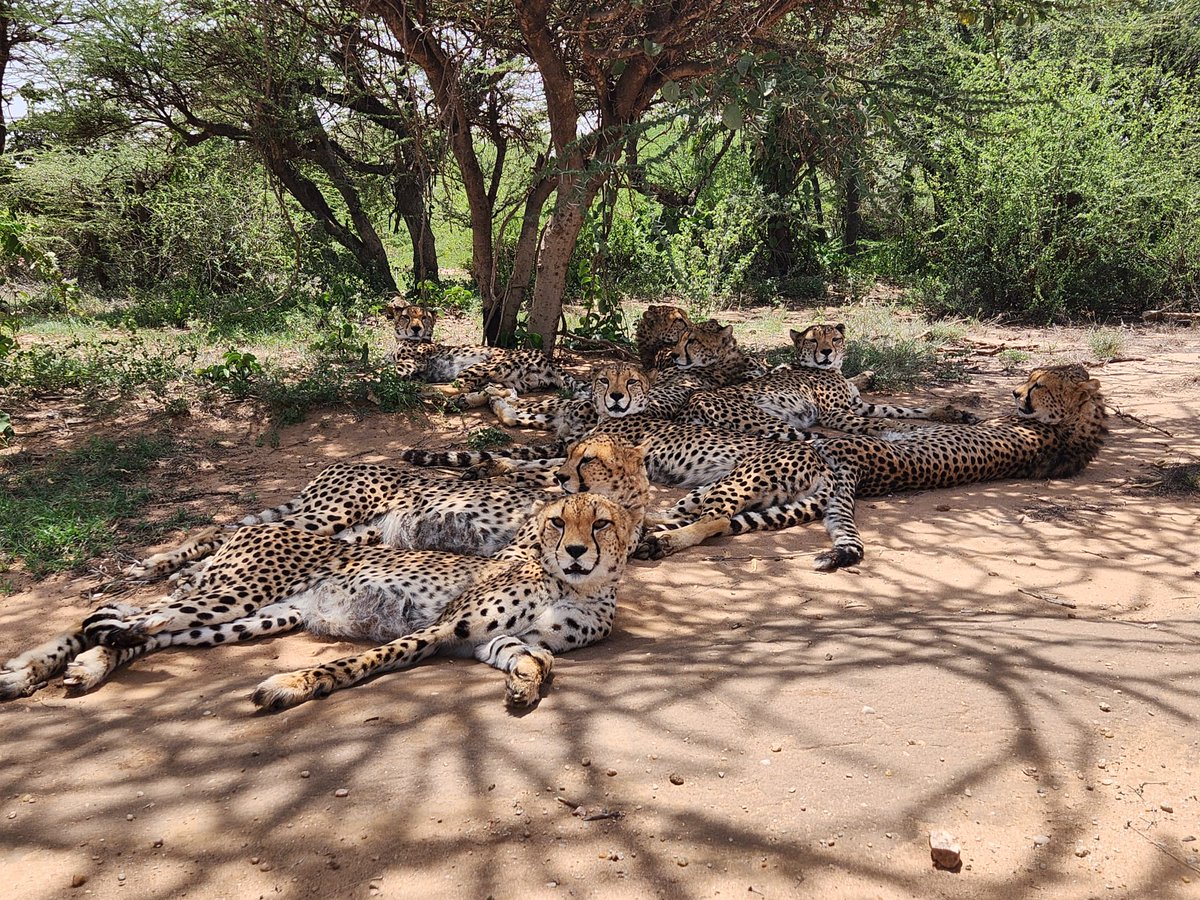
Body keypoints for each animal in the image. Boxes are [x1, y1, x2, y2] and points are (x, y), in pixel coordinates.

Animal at [0, 494, 640, 709]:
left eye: (601, 523)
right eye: (557, 523)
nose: (576, 551)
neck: (577, 587)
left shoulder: (491, 639)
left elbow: (537, 656)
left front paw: (526, 684)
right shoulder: (445, 628)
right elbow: (358, 661)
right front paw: (293, 685)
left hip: (253, 616)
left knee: (144, 632)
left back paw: (85, 665)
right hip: (236, 591)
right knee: (126, 617)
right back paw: (37, 667)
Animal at [635, 365, 1108, 570]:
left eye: (1039, 384)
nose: (1014, 393)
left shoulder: (850, 416)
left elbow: (894, 418)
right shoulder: (853, 413)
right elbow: (903, 414)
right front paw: (954, 411)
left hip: (763, 461)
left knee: (711, 516)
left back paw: (657, 540)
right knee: (695, 511)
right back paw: (649, 529)